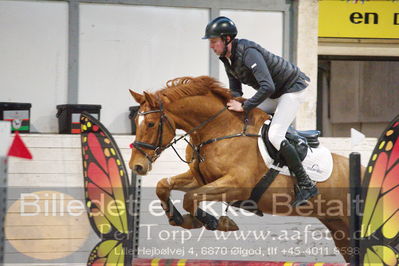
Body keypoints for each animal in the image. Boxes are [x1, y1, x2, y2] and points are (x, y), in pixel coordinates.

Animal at [130, 76, 352, 260]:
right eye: (136, 121)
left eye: (150, 124)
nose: (136, 166)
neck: (219, 129)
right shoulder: (201, 178)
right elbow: (163, 185)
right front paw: (179, 219)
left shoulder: (236, 185)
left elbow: (190, 198)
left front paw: (213, 222)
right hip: (339, 229)